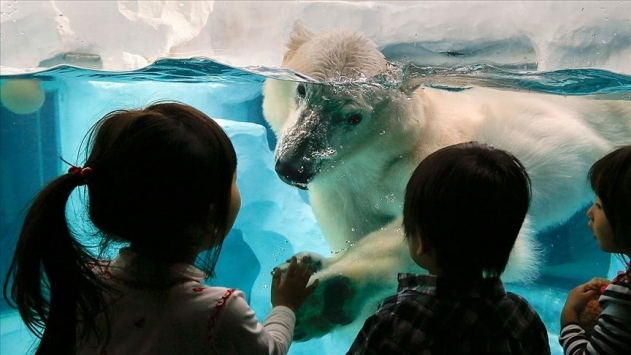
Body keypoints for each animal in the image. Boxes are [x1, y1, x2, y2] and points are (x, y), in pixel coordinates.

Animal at [262, 23, 631, 342]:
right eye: (302, 88)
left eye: (353, 117)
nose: (293, 167)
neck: (375, 162)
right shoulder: (341, 193)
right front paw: (313, 264)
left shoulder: (431, 161)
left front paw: (324, 296)